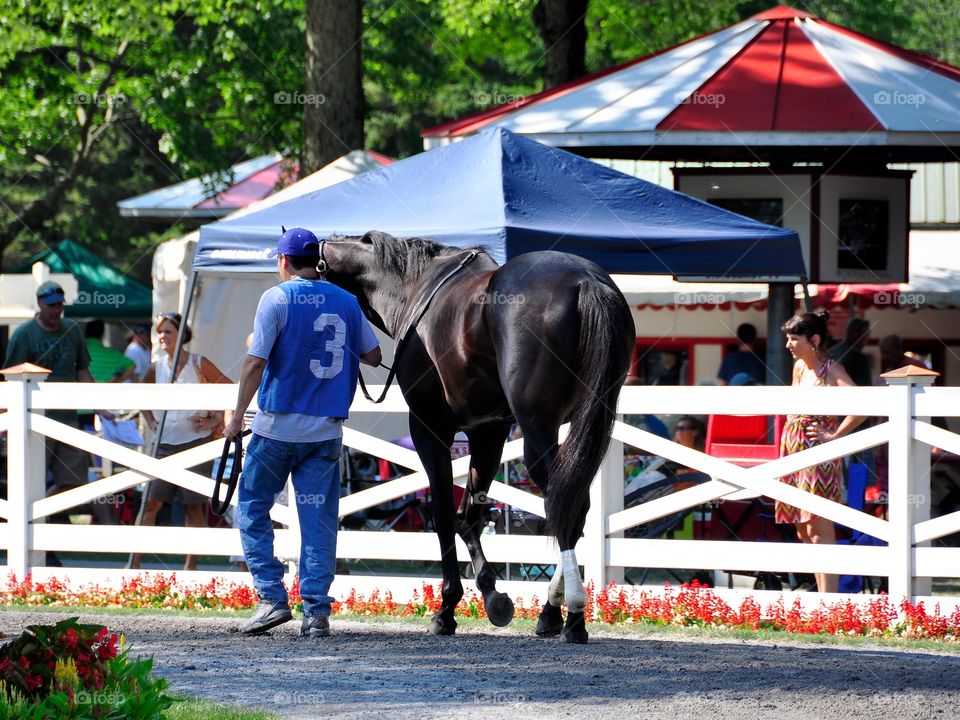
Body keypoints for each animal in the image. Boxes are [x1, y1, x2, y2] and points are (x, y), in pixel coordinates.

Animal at [322, 231, 636, 640]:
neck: (415, 286)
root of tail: (585, 281)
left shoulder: (429, 428)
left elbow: (443, 514)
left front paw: (446, 608)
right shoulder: (489, 430)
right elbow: (469, 514)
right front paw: (493, 595)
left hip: (538, 430)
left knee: (564, 505)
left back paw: (570, 614)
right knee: (572, 504)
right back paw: (556, 613)